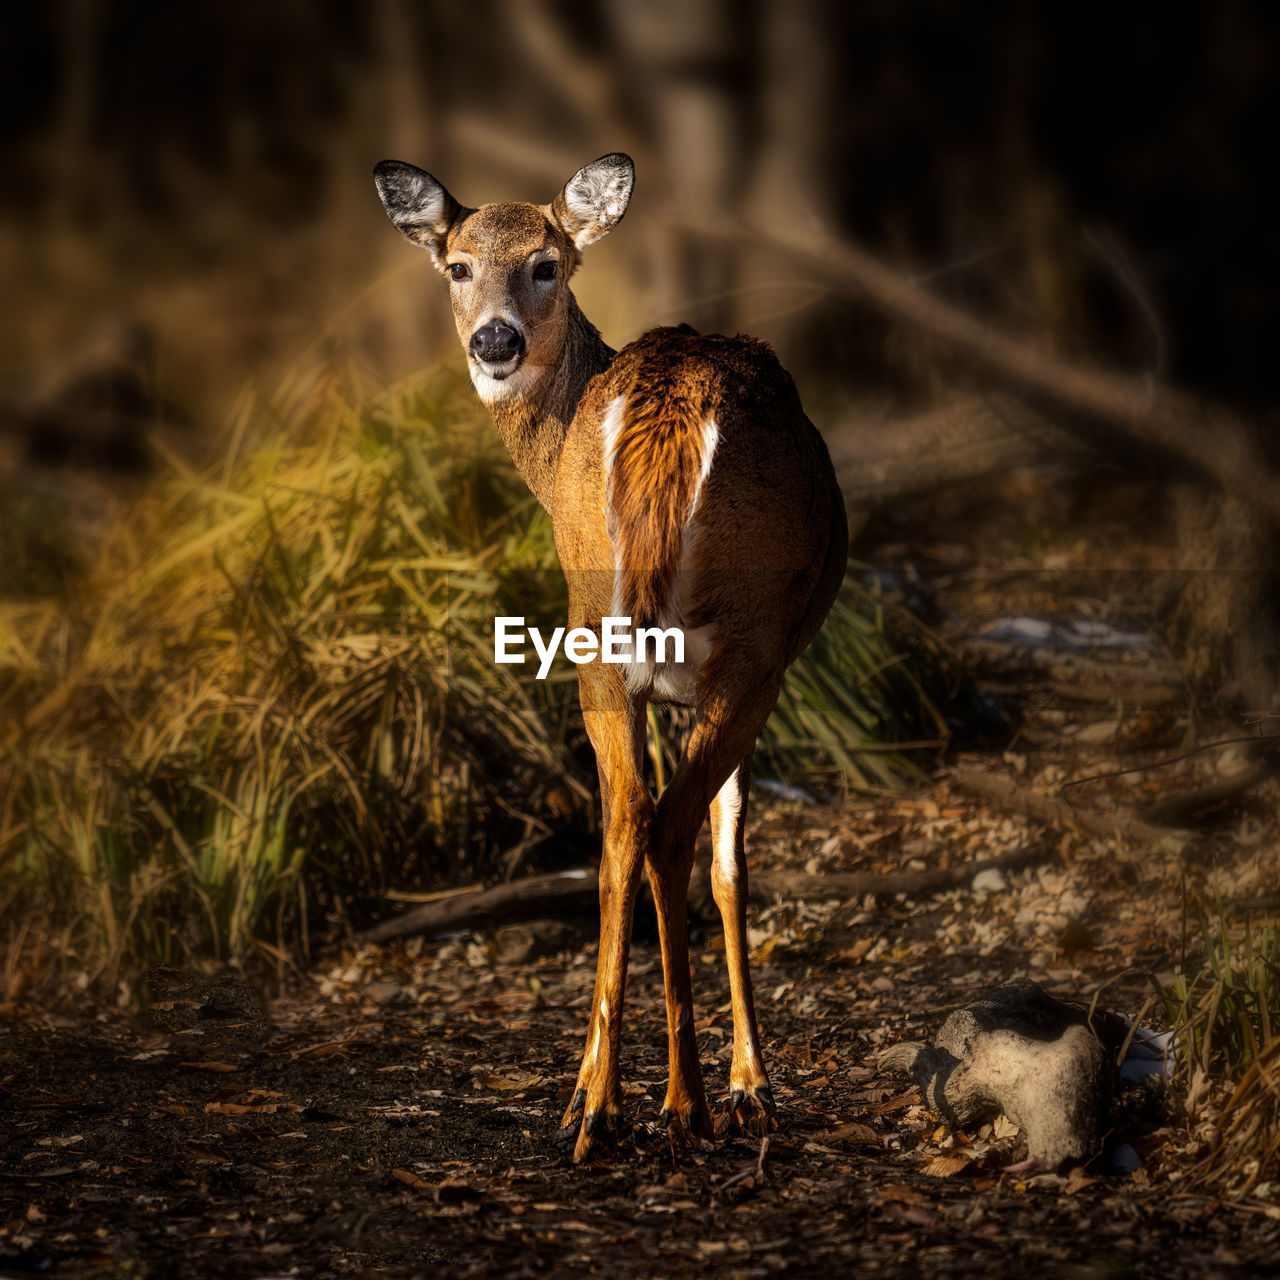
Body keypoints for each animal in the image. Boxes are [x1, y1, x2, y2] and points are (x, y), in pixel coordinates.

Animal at [373, 149, 849, 1162]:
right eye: (456, 267)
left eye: (546, 264)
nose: (496, 340)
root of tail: (667, 402)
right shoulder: (744, 669)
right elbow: (729, 862)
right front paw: (751, 1085)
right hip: (746, 642)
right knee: (668, 829)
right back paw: (685, 1103)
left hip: (602, 624)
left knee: (625, 829)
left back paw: (598, 1103)